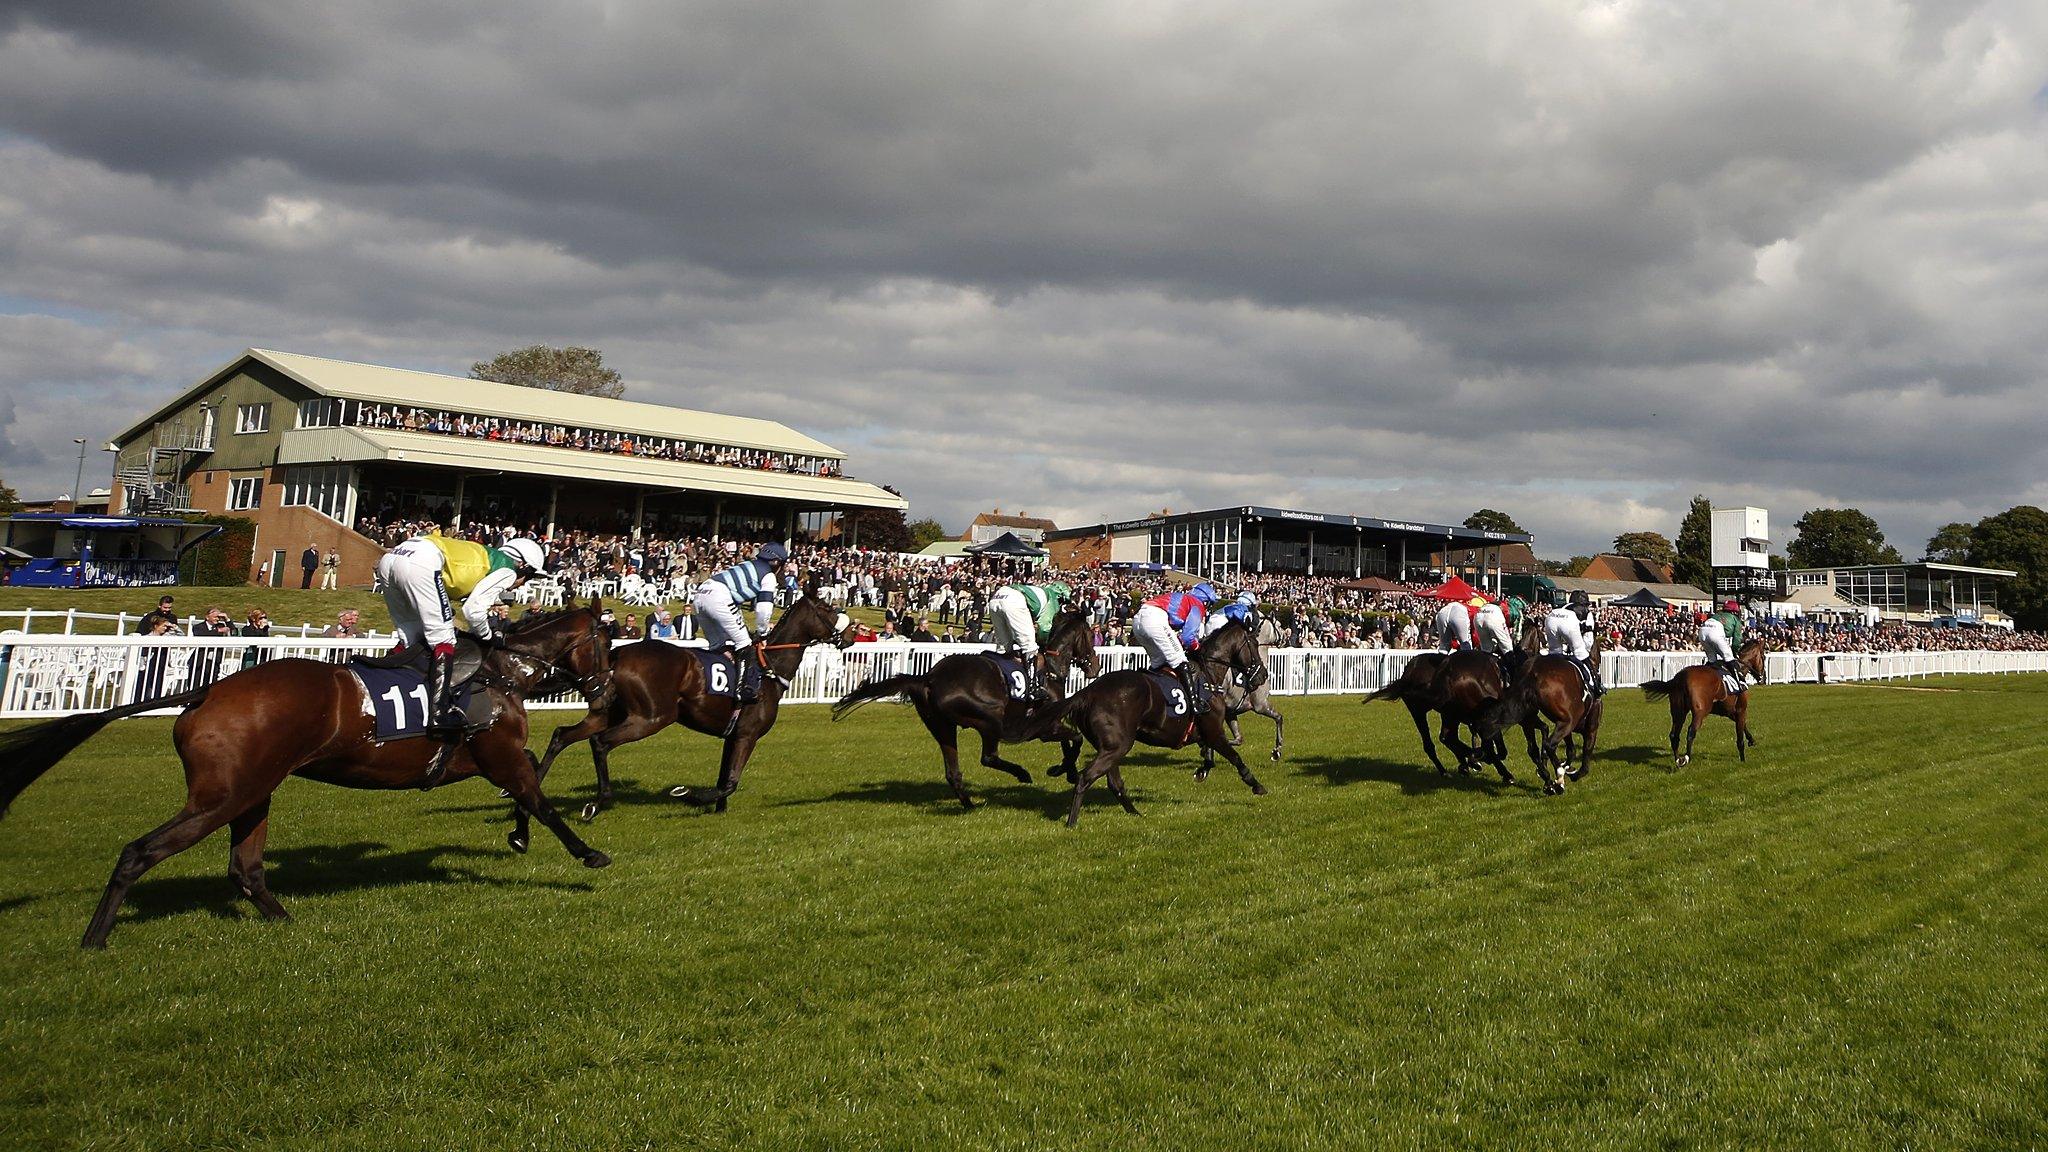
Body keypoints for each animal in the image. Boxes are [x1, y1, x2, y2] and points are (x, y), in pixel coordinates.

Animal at [0, 606, 610, 947]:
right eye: (606, 645)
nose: (604, 691)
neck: (501, 672)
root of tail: (208, 692)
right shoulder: (495, 752)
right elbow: (538, 796)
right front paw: (586, 853)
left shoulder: (479, 759)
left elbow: (528, 785)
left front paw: (518, 834)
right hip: (223, 796)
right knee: (139, 852)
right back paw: (94, 939)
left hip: (253, 792)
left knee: (245, 868)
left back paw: (287, 922)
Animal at [520, 586, 856, 828]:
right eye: (828, 608)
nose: (852, 633)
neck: (768, 669)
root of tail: (615, 656)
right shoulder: (747, 735)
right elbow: (730, 782)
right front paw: (689, 796)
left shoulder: (733, 735)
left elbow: (724, 777)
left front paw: (717, 810)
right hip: (651, 717)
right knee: (600, 742)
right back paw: (597, 802)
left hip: (610, 712)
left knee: (562, 735)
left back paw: (530, 788)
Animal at [827, 606, 1105, 803]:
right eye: (1090, 634)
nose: (1094, 666)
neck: (1050, 669)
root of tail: (929, 678)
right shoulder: (1043, 728)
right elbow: (1076, 739)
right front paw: (1063, 770)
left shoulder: (1050, 724)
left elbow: (1071, 742)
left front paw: (1066, 771)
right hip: (990, 719)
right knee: (989, 757)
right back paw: (1021, 774)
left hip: (942, 726)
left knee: (953, 772)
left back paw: (968, 803)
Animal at [1032, 619, 1269, 824]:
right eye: (1254, 644)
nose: (1263, 675)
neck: (1208, 676)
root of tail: (1087, 693)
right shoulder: (1214, 732)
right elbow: (1235, 757)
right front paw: (1256, 785)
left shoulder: (1205, 734)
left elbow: (1209, 756)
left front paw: (1201, 771)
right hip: (1118, 745)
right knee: (1086, 778)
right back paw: (1072, 822)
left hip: (1110, 747)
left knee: (1113, 782)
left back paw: (1135, 813)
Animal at [1638, 631, 1769, 766]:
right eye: (1763, 657)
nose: (1763, 678)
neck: (1738, 669)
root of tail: (1680, 678)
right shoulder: (1741, 710)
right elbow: (1740, 737)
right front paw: (1743, 759)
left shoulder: (1728, 711)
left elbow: (1743, 725)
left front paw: (1751, 740)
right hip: (1700, 711)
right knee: (1691, 731)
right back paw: (1686, 758)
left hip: (1678, 711)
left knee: (1674, 734)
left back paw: (1678, 759)